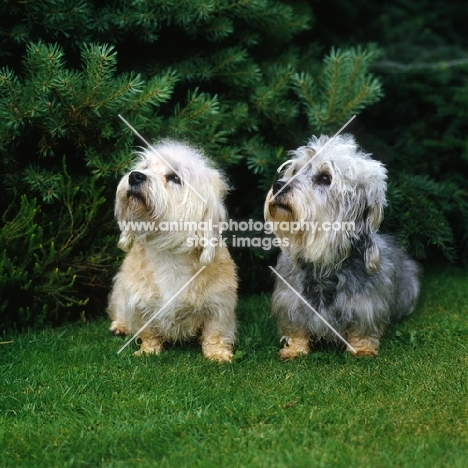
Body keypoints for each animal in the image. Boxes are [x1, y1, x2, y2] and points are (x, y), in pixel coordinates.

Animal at [107, 140, 236, 362]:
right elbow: (148, 331)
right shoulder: (138, 301)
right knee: (119, 310)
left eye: (175, 178)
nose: (135, 176)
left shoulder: (220, 304)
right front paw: (149, 350)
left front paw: (217, 353)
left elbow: (215, 332)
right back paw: (120, 326)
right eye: (145, 167)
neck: (168, 254)